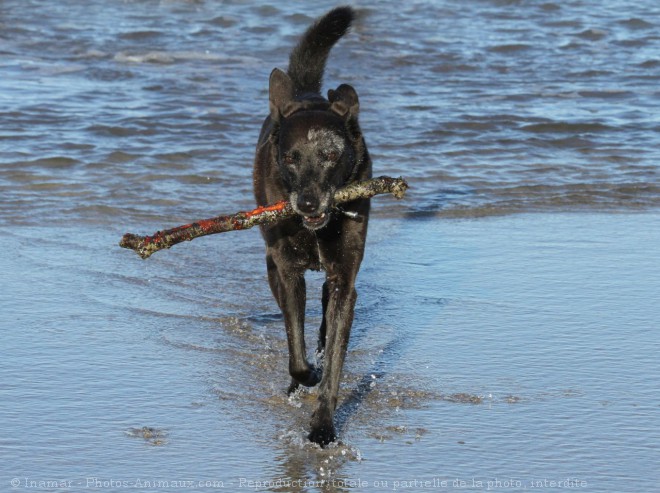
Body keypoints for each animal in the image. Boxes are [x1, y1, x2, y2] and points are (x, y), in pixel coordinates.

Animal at [253, 6, 372, 446]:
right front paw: (306, 376)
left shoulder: (345, 280)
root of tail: (305, 93)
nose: (307, 202)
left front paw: (323, 426)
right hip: (272, 264)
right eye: (290, 158)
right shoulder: (287, 271)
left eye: (330, 155)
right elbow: (296, 350)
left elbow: (335, 356)